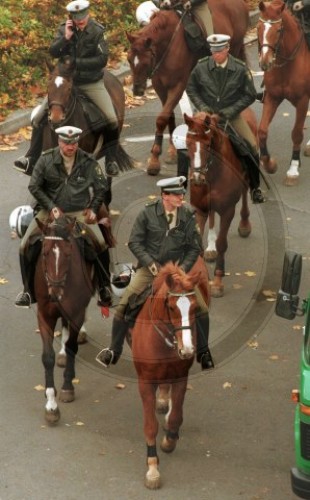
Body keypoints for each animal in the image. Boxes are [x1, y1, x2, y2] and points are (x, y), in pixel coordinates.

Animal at [33, 217, 94, 424]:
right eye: (44, 253)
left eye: (68, 254)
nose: (55, 294)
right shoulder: (44, 315)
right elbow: (47, 357)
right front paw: (51, 405)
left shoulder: (76, 313)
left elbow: (72, 348)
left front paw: (67, 387)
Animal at [126, 0, 249, 174]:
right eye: (129, 59)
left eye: (145, 61)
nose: (137, 90)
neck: (168, 44)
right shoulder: (161, 87)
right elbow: (168, 116)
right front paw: (171, 153)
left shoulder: (178, 86)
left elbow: (161, 118)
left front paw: (154, 160)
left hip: (236, 49)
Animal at [131, 258, 211, 488]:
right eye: (171, 306)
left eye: (194, 306)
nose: (187, 350)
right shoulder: (145, 381)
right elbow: (150, 426)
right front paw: (152, 468)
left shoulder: (181, 375)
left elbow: (176, 416)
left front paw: (169, 440)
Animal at [185, 111, 256, 296]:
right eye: (187, 143)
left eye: (208, 144)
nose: (197, 178)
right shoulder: (200, 208)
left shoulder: (227, 211)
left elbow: (222, 244)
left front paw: (217, 282)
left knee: (245, 194)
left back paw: (244, 225)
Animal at [256, 0, 310, 186]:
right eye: (258, 27)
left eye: (279, 30)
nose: (265, 62)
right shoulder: (273, 97)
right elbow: (262, 131)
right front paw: (269, 164)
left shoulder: (303, 100)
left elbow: (297, 133)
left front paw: (293, 169)